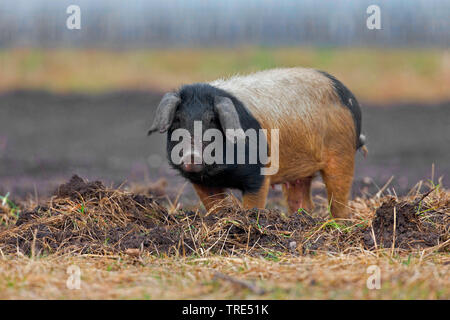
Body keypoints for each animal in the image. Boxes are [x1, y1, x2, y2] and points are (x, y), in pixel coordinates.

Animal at [148, 67, 366, 218]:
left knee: (338, 196)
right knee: (302, 200)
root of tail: (347, 95)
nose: (191, 156)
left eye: (212, 120)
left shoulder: (258, 174)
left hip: (342, 150)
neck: (221, 173)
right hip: (300, 173)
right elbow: (215, 205)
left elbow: (253, 204)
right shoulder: (202, 182)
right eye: (178, 120)